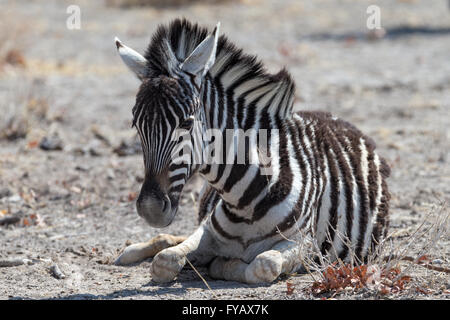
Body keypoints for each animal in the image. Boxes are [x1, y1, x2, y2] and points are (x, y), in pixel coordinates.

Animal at [112, 18, 390, 282]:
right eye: (136, 125)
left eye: (187, 123)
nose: (149, 209)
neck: (244, 203)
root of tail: (335, 117)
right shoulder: (206, 231)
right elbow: (165, 260)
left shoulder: (305, 245)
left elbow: (263, 264)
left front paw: (224, 264)